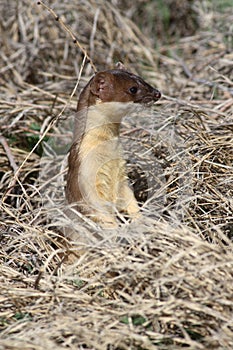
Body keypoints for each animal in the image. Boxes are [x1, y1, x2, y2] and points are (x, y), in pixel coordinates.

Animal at [65, 62, 160, 227]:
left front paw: (139, 219)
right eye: (133, 88)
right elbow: (99, 212)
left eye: (142, 79)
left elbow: (129, 199)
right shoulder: (84, 175)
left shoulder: (122, 176)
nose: (157, 93)